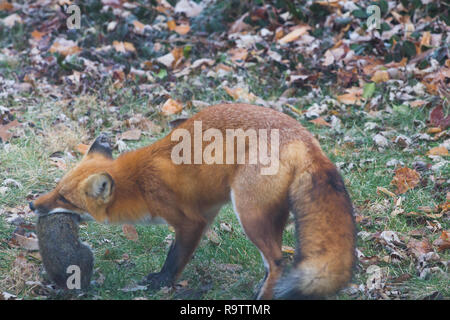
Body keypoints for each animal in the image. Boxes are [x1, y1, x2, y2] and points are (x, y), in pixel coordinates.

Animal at [30, 104, 356, 298]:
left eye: (64, 198)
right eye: (56, 188)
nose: (33, 205)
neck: (138, 183)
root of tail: (307, 140)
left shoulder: (190, 222)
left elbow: (174, 258)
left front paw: (161, 282)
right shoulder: (206, 213)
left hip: (249, 215)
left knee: (278, 262)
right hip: (267, 217)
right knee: (272, 263)